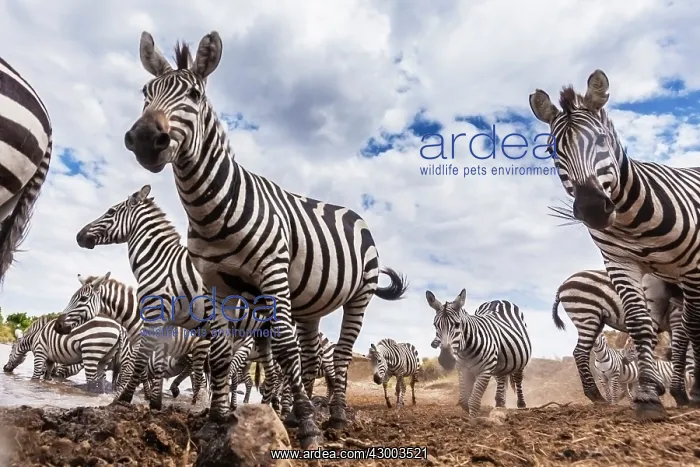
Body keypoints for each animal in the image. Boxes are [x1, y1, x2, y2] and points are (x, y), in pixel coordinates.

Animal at [56, 185, 237, 417]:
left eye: (111, 211)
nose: (79, 236)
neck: (160, 261)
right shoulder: (159, 331)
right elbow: (155, 369)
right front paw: (155, 403)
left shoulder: (150, 324)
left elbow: (138, 368)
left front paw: (123, 400)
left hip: (203, 346)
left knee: (203, 378)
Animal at [121, 31, 410, 448]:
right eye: (146, 91)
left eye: (194, 94)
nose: (145, 138)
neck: (212, 209)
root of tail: (356, 215)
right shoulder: (215, 285)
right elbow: (220, 355)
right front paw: (216, 421)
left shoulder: (273, 274)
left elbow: (284, 349)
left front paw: (308, 427)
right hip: (310, 305)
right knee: (310, 356)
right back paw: (291, 412)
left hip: (360, 294)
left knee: (339, 354)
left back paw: (336, 418)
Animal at [425, 289, 531, 418]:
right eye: (435, 325)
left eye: (457, 325)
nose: (446, 360)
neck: (466, 350)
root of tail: (497, 300)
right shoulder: (463, 369)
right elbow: (465, 400)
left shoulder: (485, 371)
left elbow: (474, 400)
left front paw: (473, 420)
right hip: (499, 363)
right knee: (501, 379)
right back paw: (500, 403)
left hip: (520, 360)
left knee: (518, 379)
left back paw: (521, 404)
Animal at [551, 269, 687, 403]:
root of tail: (563, 284)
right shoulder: (678, 318)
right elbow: (680, 355)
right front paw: (680, 395)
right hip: (586, 314)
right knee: (580, 352)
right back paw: (596, 396)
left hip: (596, 320)